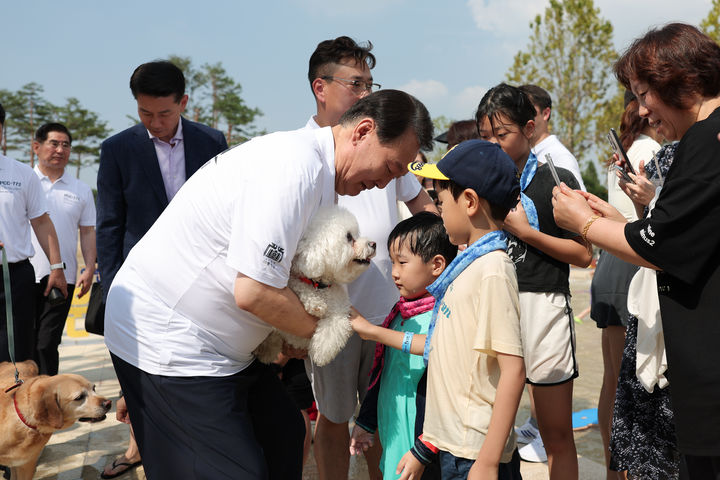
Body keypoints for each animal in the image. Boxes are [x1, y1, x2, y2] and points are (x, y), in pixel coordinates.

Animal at [253, 204, 374, 366]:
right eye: (349, 237)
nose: (373, 244)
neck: (319, 285)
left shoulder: (341, 312)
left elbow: (334, 327)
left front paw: (321, 353)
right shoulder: (296, 282)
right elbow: (298, 285)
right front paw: (316, 305)